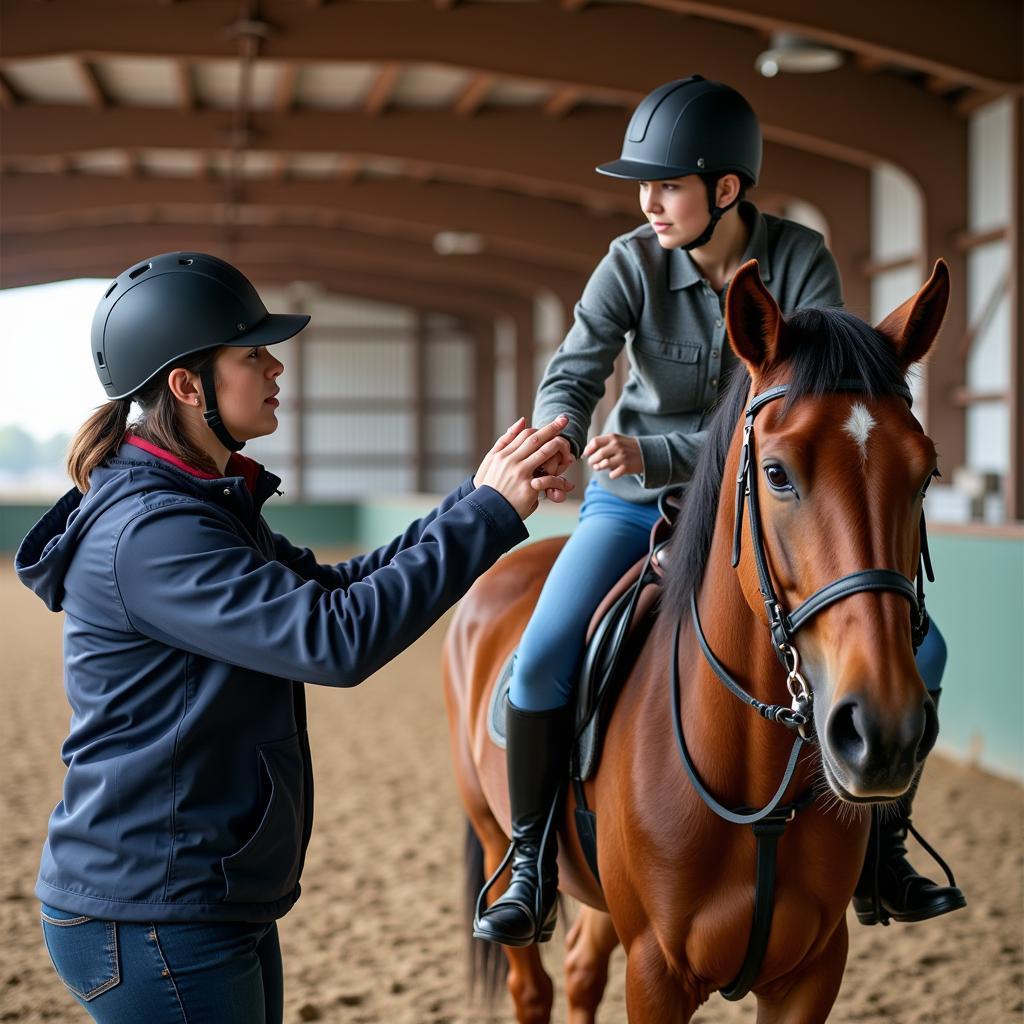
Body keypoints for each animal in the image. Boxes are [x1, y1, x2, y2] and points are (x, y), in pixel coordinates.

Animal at [444, 260, 946, 1019]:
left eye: (924, 475)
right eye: (776, 473)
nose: (881, 733)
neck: (757, 782)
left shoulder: (814, 970)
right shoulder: (656, 972)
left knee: (582, 967)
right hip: (489, 824)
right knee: (531, 983)